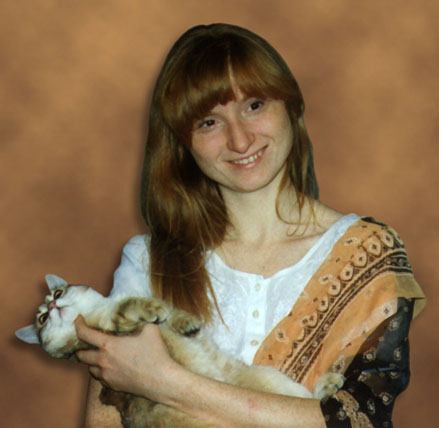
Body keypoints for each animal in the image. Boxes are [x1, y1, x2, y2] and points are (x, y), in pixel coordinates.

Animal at [16, 274, 344, 428]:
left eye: (59, 292)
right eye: (41, 320)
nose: (52, 306)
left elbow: (170, 312)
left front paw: (185, 322)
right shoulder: (109, 331)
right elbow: (128, 307)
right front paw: (153, 309)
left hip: (268, 381)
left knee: (306, 400)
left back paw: (327, 385)